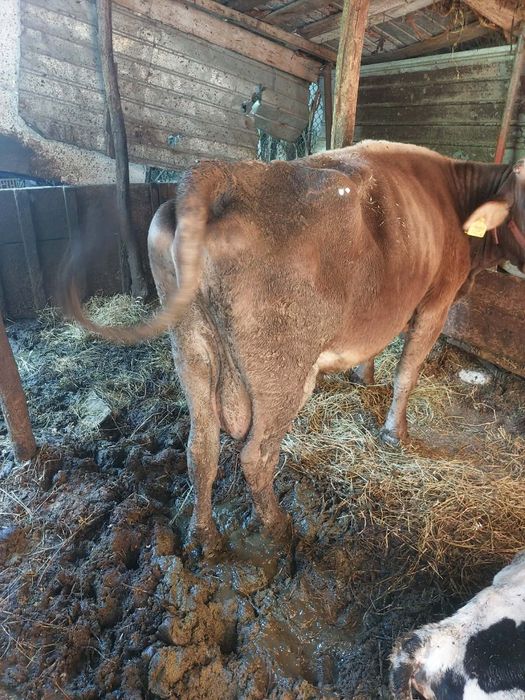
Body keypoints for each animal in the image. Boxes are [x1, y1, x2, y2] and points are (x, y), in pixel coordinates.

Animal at [64, 141, 525, 555]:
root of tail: (226, 174)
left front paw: (363, 377)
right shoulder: (437, 301)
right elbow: (407, 373)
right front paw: (396, 434)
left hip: (191, 349)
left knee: (200, 450)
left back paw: (204, 537)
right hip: (282, 374)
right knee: (256, 454)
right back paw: (277, 526)